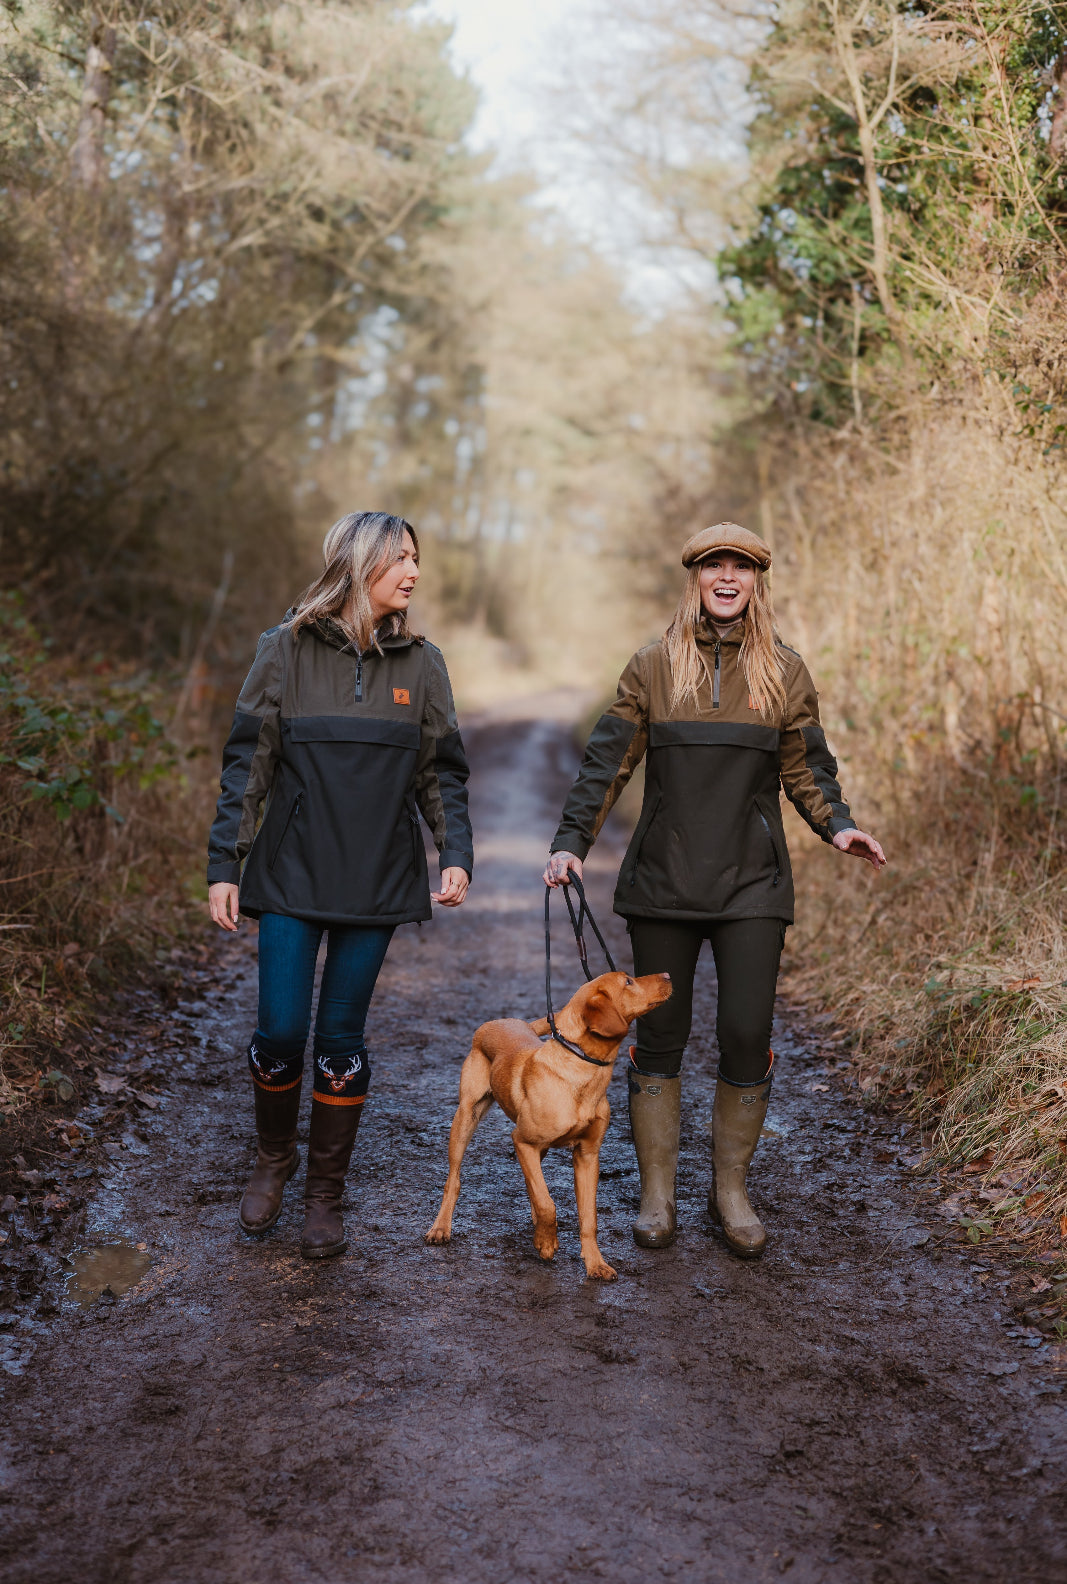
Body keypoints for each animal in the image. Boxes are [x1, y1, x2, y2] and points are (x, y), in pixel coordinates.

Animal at [421, 969, 664, 1279]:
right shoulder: (522, 1141)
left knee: (531, 1184)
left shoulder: (587, 1155)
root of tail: (503, 1021)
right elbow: (548, 1203)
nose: (668, 975)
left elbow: (587, 1216)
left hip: (538, 1147)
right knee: (454, 1179)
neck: (580, 1071)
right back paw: (441, 1227)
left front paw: (595, 1263)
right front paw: (547, 1243)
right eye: (628, 982)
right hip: (466, 1118)